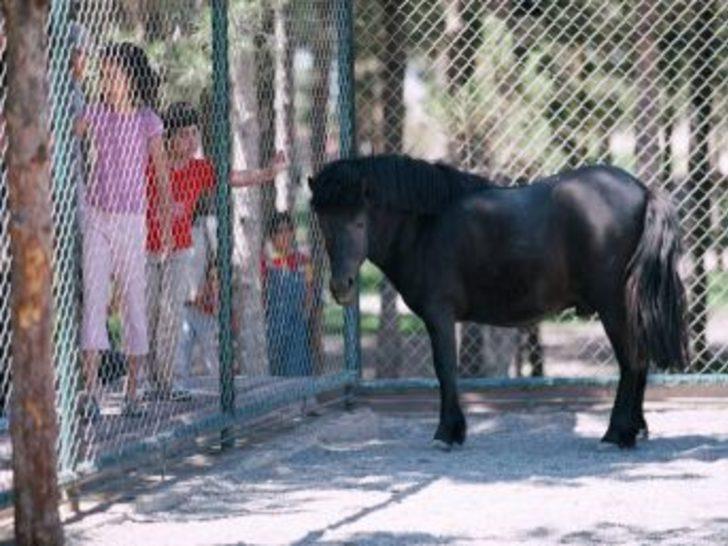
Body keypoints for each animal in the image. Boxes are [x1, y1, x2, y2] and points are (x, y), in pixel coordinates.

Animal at [308, 153, 688, 446]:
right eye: (324, 223)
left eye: (359, 222)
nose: (341, 286)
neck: (427, 226)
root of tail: (642, 190)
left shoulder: (439, 314)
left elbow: (445, 369)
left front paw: (448, 432)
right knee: (639, 361)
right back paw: (634, 430)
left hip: (613, 308)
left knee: (631, 362)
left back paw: (616, 434)